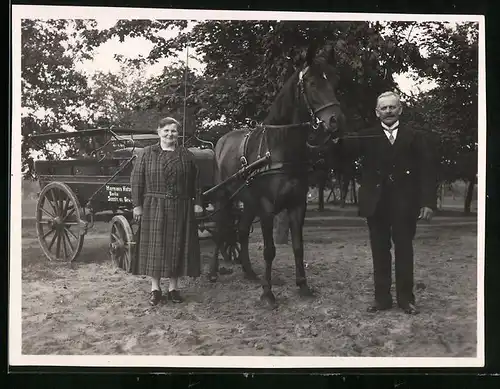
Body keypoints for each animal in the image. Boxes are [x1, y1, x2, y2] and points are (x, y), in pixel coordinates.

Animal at [207, 44, 344, 306]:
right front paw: (268, 293)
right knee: (219, 231)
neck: (280, 147)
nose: (336, 121)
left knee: (241, 231)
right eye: (312, 83)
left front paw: (303, 286)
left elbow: (298, 246)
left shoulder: (297, 204)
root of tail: (221, 141)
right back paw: (212, 273)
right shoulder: (267, 207)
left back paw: (249, 272)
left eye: (335, 81)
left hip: (248, 202)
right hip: (224, 198)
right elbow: (269, 249)